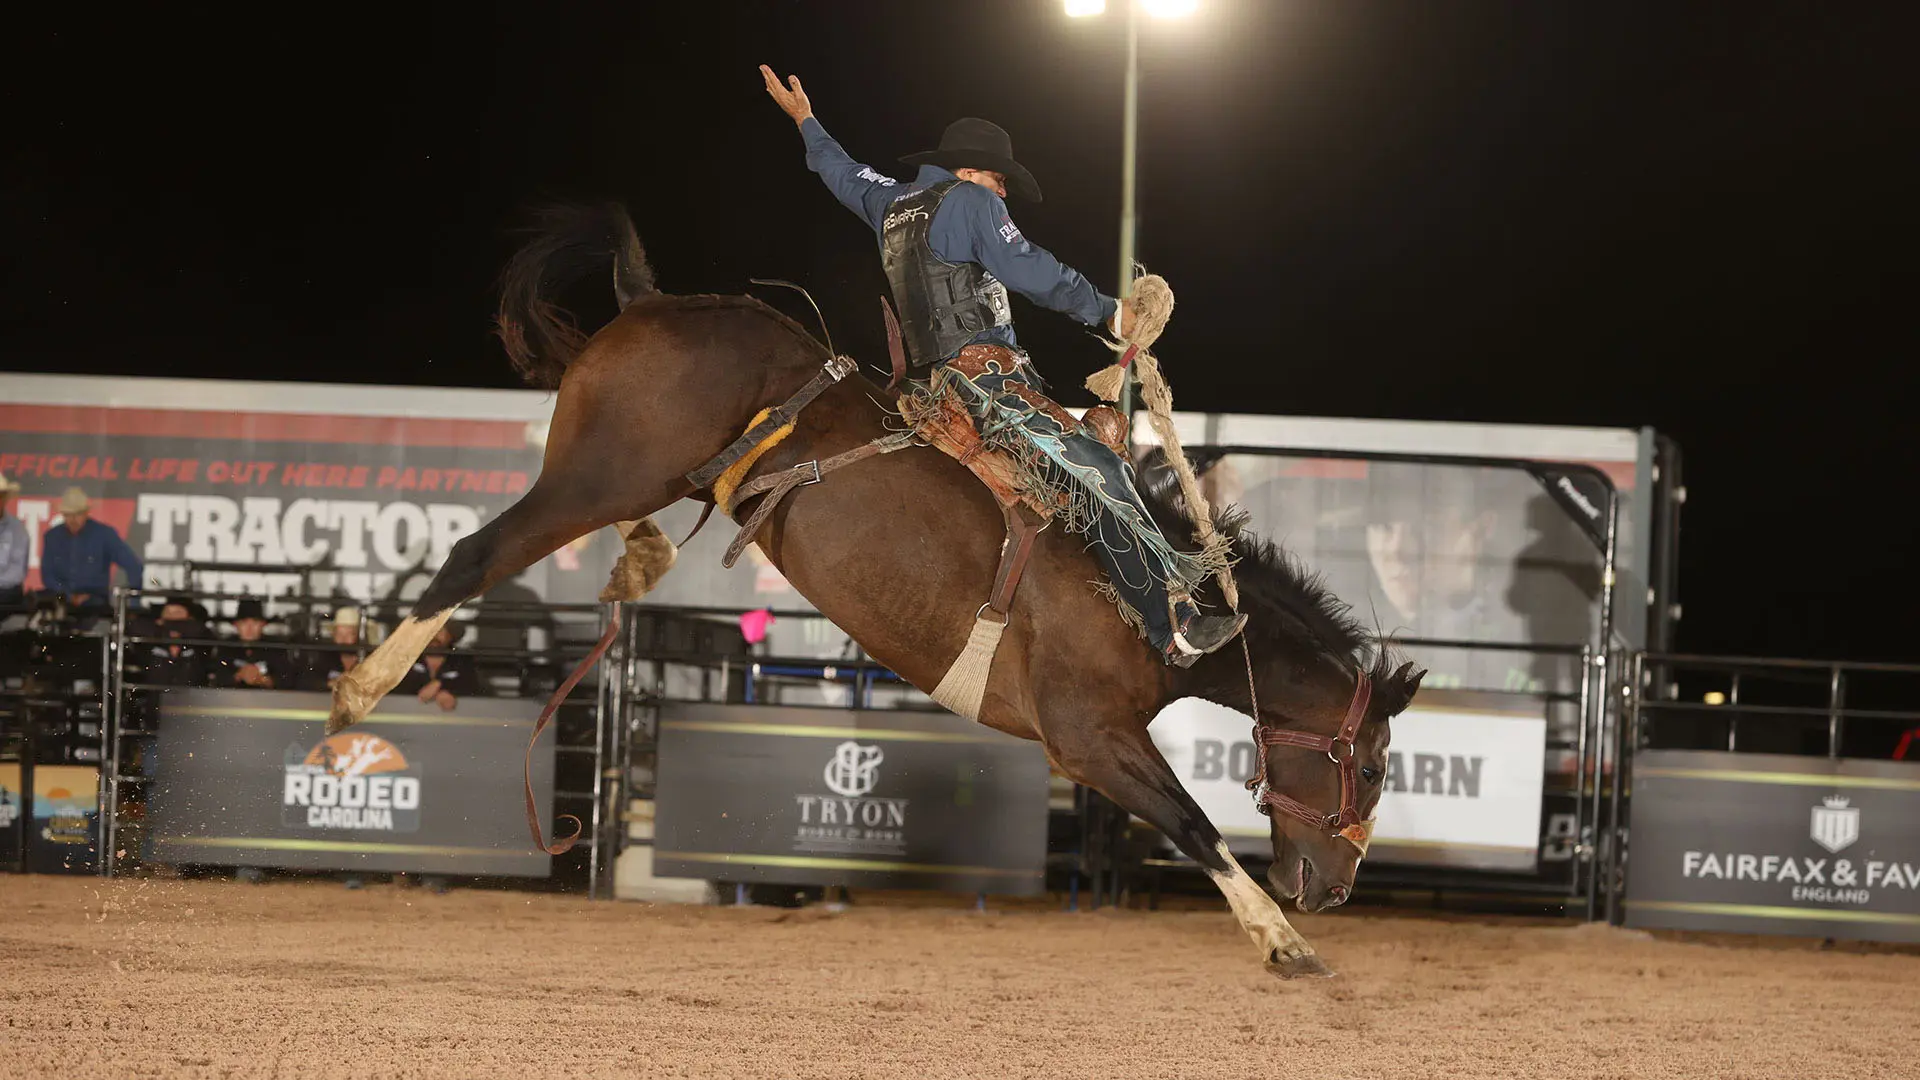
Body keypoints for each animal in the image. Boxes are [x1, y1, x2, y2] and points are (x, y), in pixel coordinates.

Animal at [326, 201, 1428, 976]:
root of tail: (652, 300)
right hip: (600, 473)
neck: (1160, 597)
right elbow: (1195, 824)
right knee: (473, 556)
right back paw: (353, 699)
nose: (1335, 888)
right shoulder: (1088, 735)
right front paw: (1285, 942)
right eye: (1374, 767)